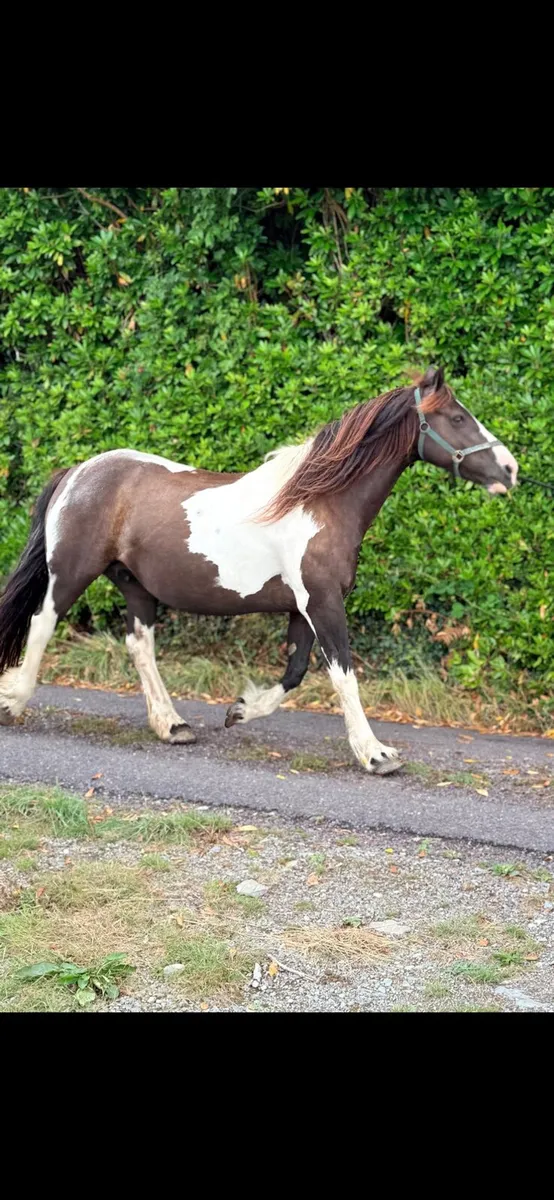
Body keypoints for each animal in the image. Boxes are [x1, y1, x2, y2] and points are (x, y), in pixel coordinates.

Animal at [0, 366, 518, 775]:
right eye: (458, 418)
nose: (510, 470)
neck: (320, 502)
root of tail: (76, 473)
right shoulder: (323, 602)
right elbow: (343, 674)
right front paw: (375, 754)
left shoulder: (302, 608)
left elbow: (295, 671)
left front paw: (240, 711)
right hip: (71, 572)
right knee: (42, 623)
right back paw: (14, 701)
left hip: (135, 587)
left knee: (140, 645)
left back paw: (173, 725)